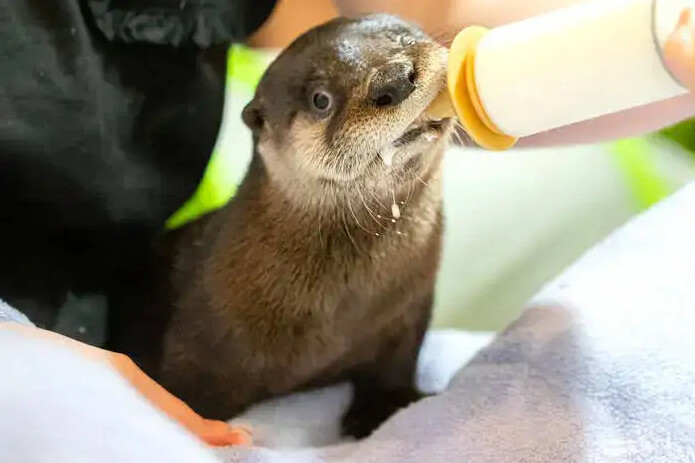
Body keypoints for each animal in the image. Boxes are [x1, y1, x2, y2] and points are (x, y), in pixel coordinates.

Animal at [127, 14, 455, 439]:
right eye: (320, 99)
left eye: (402, 37)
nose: (394, 80)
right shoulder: (193, 347)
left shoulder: (408, 312)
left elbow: (396, 364)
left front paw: (382, 407)